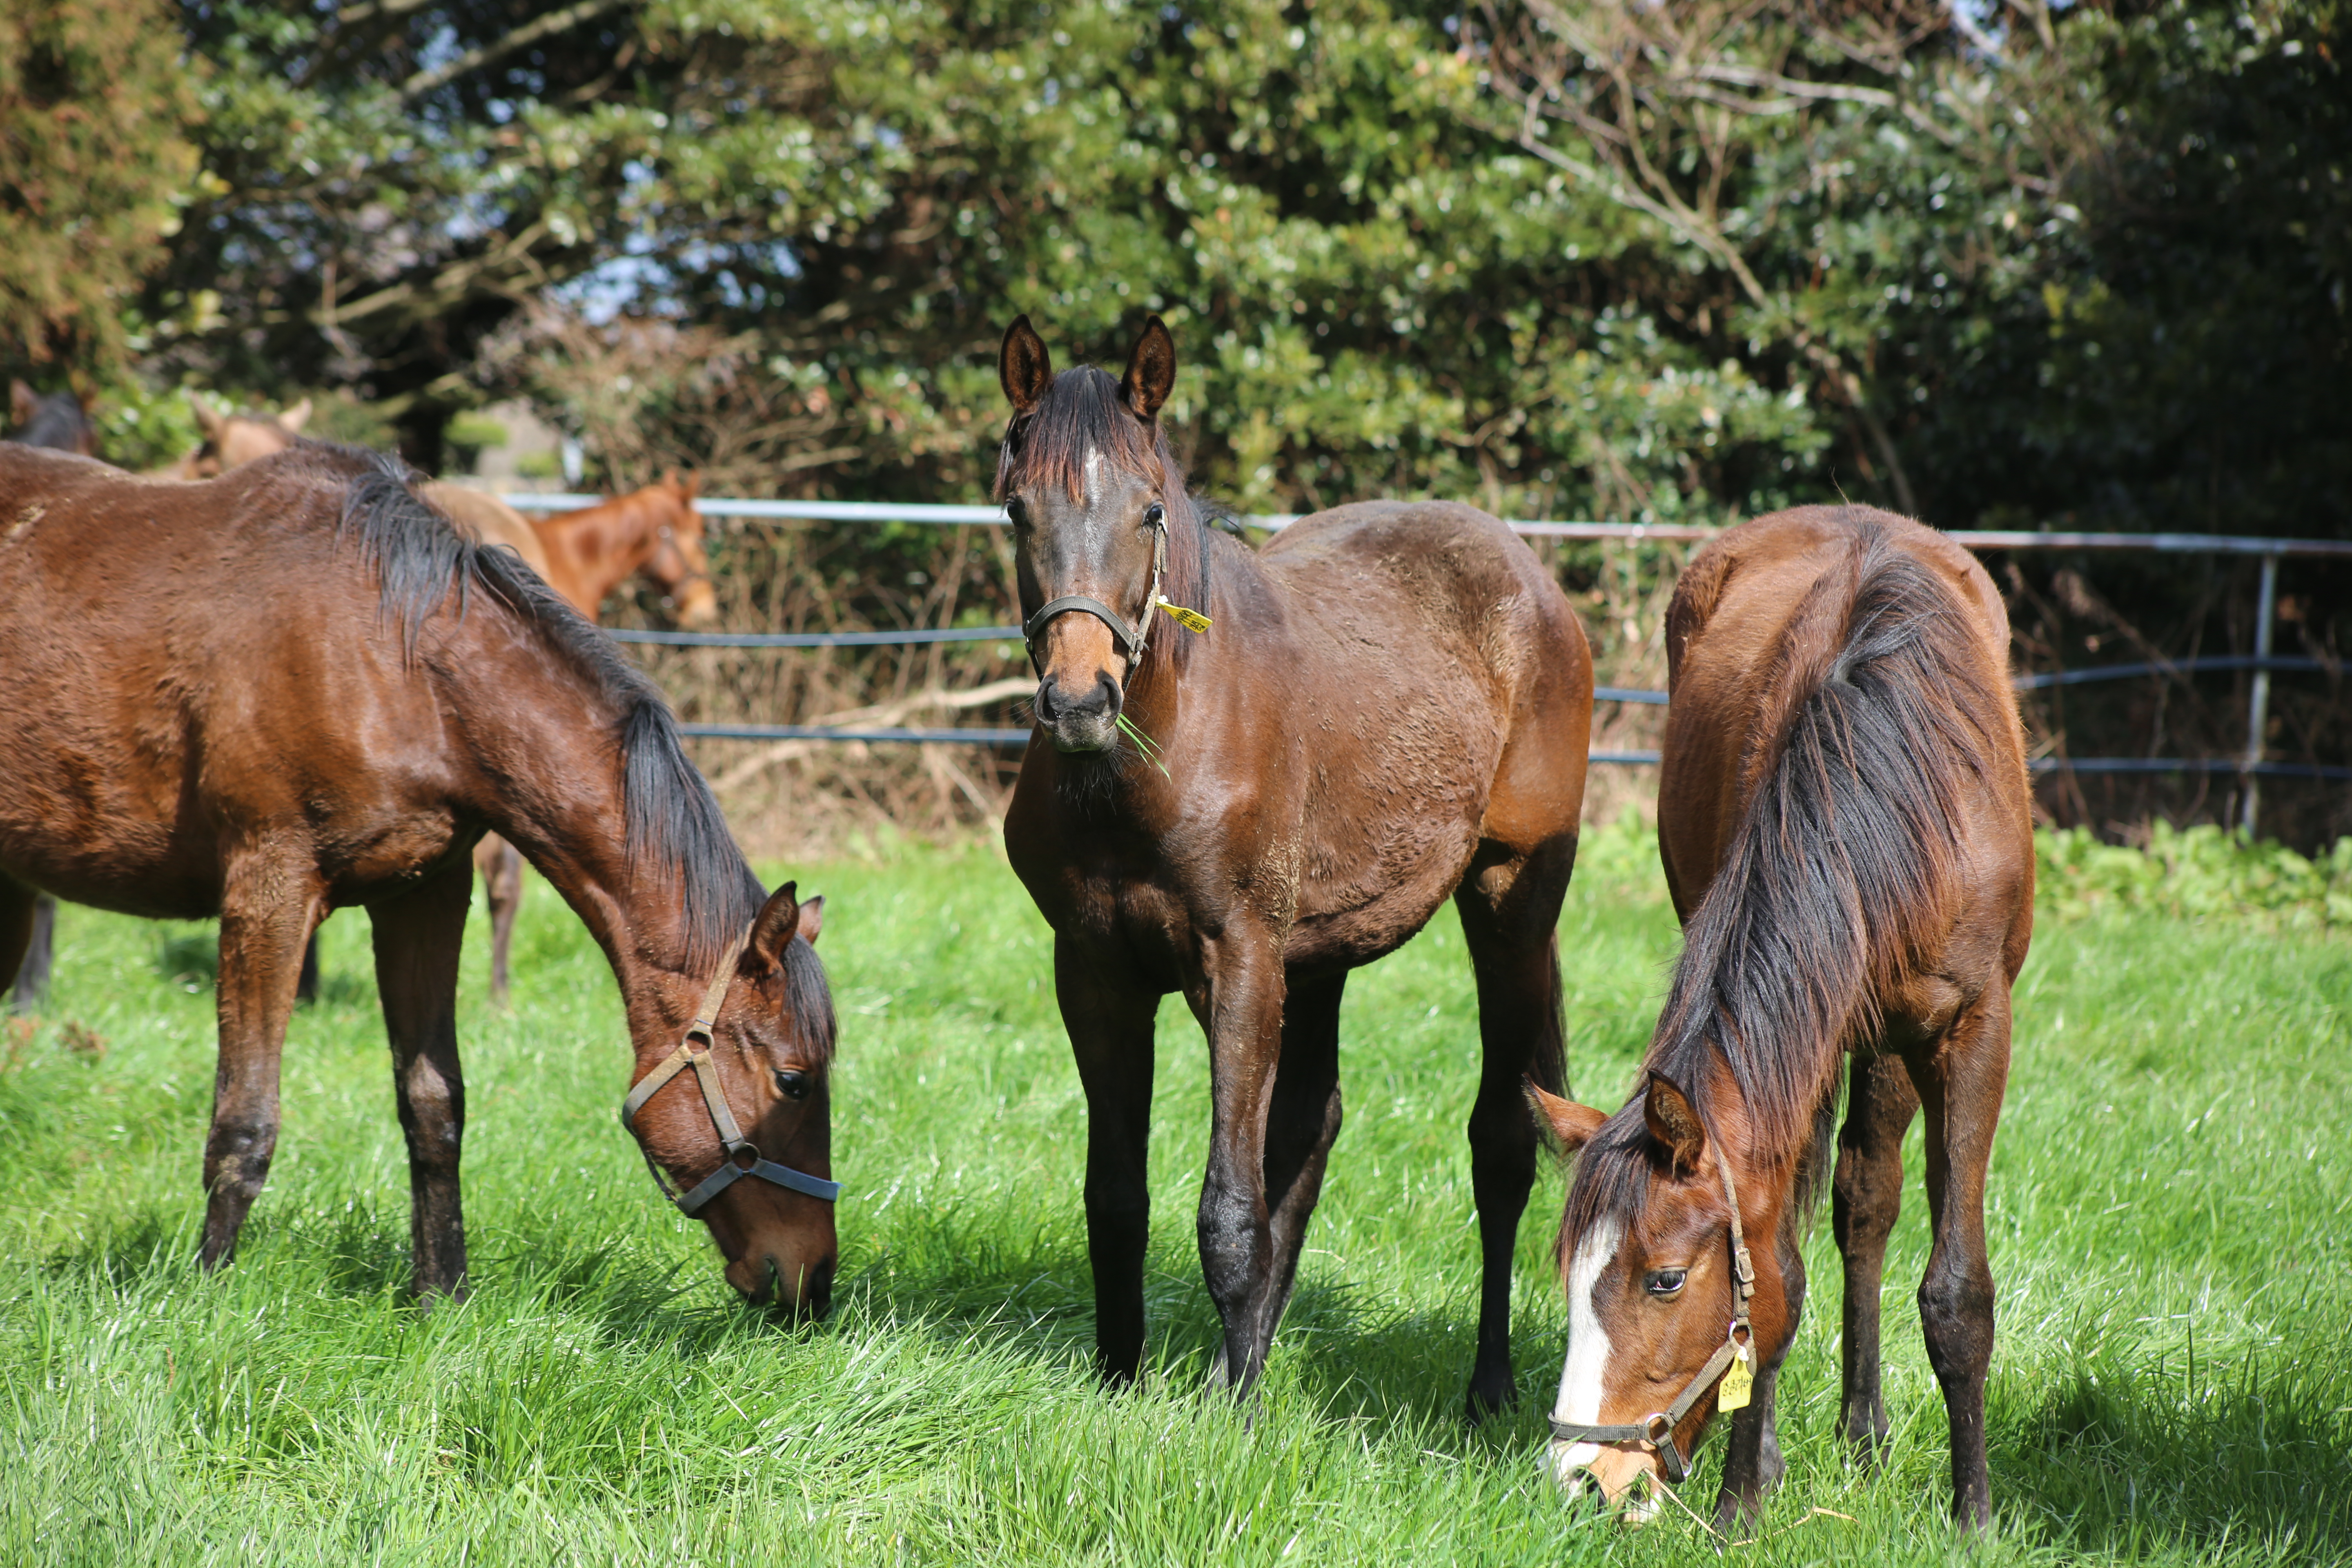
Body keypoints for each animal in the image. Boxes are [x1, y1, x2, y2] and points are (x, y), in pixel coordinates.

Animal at [0, 442, 846, 1316]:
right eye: (793, 1082)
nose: (816, 1279)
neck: (399, 663)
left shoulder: (425, 894)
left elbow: (435, 1103)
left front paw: (444, 1295)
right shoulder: (269, 888)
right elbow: (245, 1119)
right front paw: (207, 1300)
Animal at [992, 312, 1599, 1420]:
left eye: (1150, 511)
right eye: (1018, 509)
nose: (1078, 702)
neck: (1158, 752)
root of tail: (1526, 577)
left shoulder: (1237, 965)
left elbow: (1227, 1209)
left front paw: (1231, 1419)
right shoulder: (1095, 972)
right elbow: (1118, 1195)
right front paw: (1125, 1380)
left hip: (1509, 904)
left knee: (1498, 1143)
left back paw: (1485, 1384)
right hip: (1319, 959)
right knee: (1310, 1131)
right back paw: (1255, 1360)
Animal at [1533, 505, 2032, 1532]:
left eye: (1663, 1278)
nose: (1580, 1476)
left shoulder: (1972, 1032)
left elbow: (1957, 1291)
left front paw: (1971, 1508)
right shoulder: (1803, 1038)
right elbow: (1775, 1281)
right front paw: (1742, 1494)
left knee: (1868, 1201)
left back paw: (1864, 1427)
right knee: (1857, 1203)